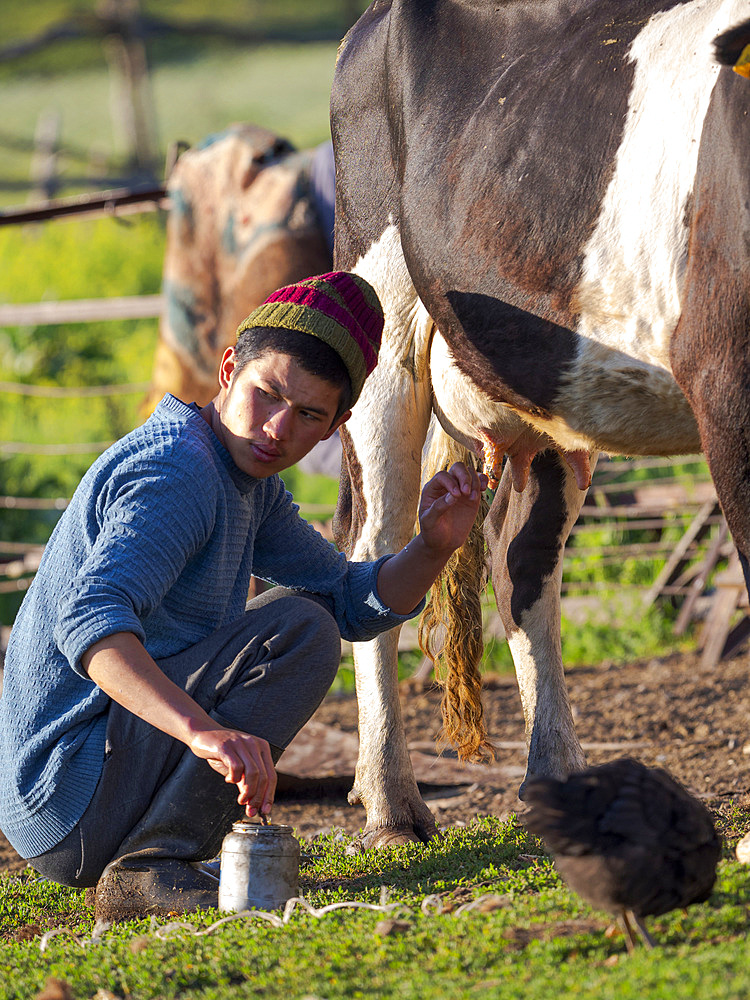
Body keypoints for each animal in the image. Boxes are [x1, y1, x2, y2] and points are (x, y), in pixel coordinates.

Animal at [330, 0, 750, 848]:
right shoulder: (726, 380)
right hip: (381, 323)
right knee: (374, 549)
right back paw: (391, 806)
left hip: (548, 387)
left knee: (518, 559)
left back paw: (553, 780)